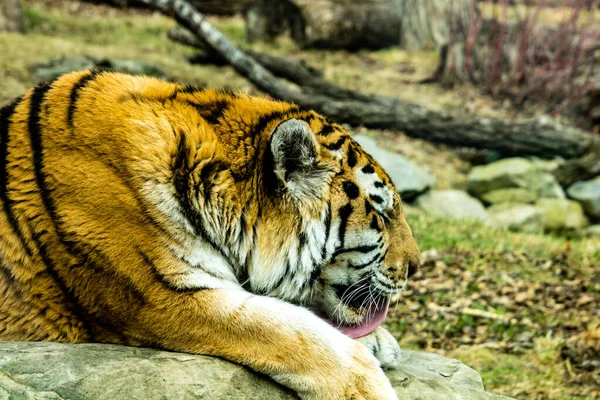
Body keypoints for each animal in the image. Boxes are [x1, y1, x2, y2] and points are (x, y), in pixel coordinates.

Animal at [0, 71, 422, 400]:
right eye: (382, 213)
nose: (416, 267)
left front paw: (380, 341)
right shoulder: (163, 296)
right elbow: (293, 330)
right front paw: (367, 385)